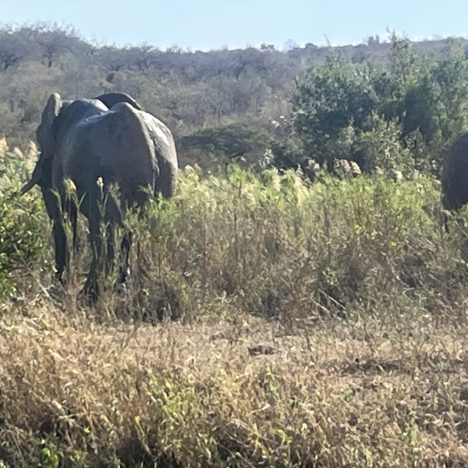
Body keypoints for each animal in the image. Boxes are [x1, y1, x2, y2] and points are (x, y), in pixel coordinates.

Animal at [20, 91, 178, 296]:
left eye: (38, 137)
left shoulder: (59, 164)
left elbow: (61, 212)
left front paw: (60, 282)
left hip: (107, 175)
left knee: (102, 229)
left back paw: (89, 294)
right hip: (164, 175)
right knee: (134, 230)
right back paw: (126, 287)